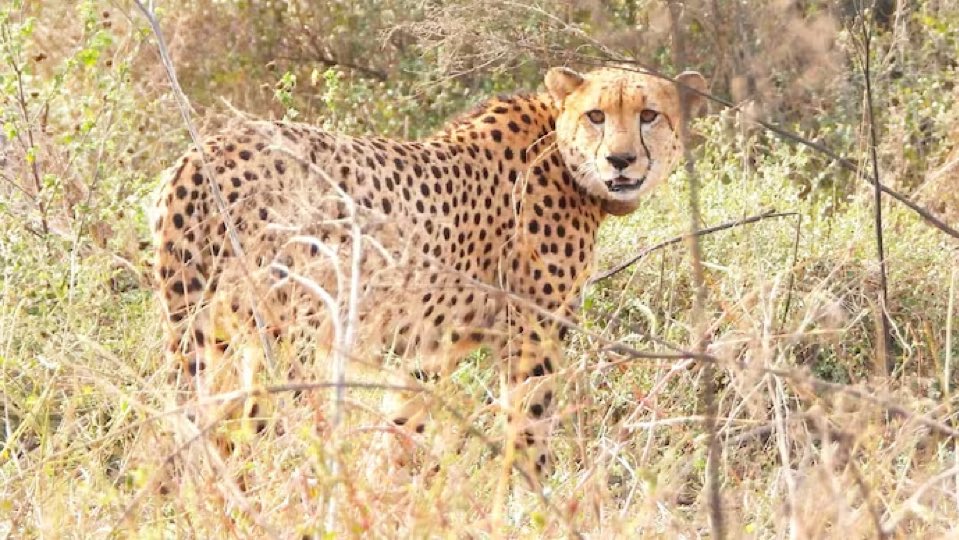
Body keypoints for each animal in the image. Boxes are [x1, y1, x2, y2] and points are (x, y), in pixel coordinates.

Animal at [151, 66, 707, 481]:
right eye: (596, 115)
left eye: (649, 115)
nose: (621, 159)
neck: (561, 151)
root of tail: (202, 153)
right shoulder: (532, 338)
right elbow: (528, 430)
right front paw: (531, 501)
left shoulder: (429, 350)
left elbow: (401, 427)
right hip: (287, 339)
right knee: (257, 431)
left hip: (213, 334)